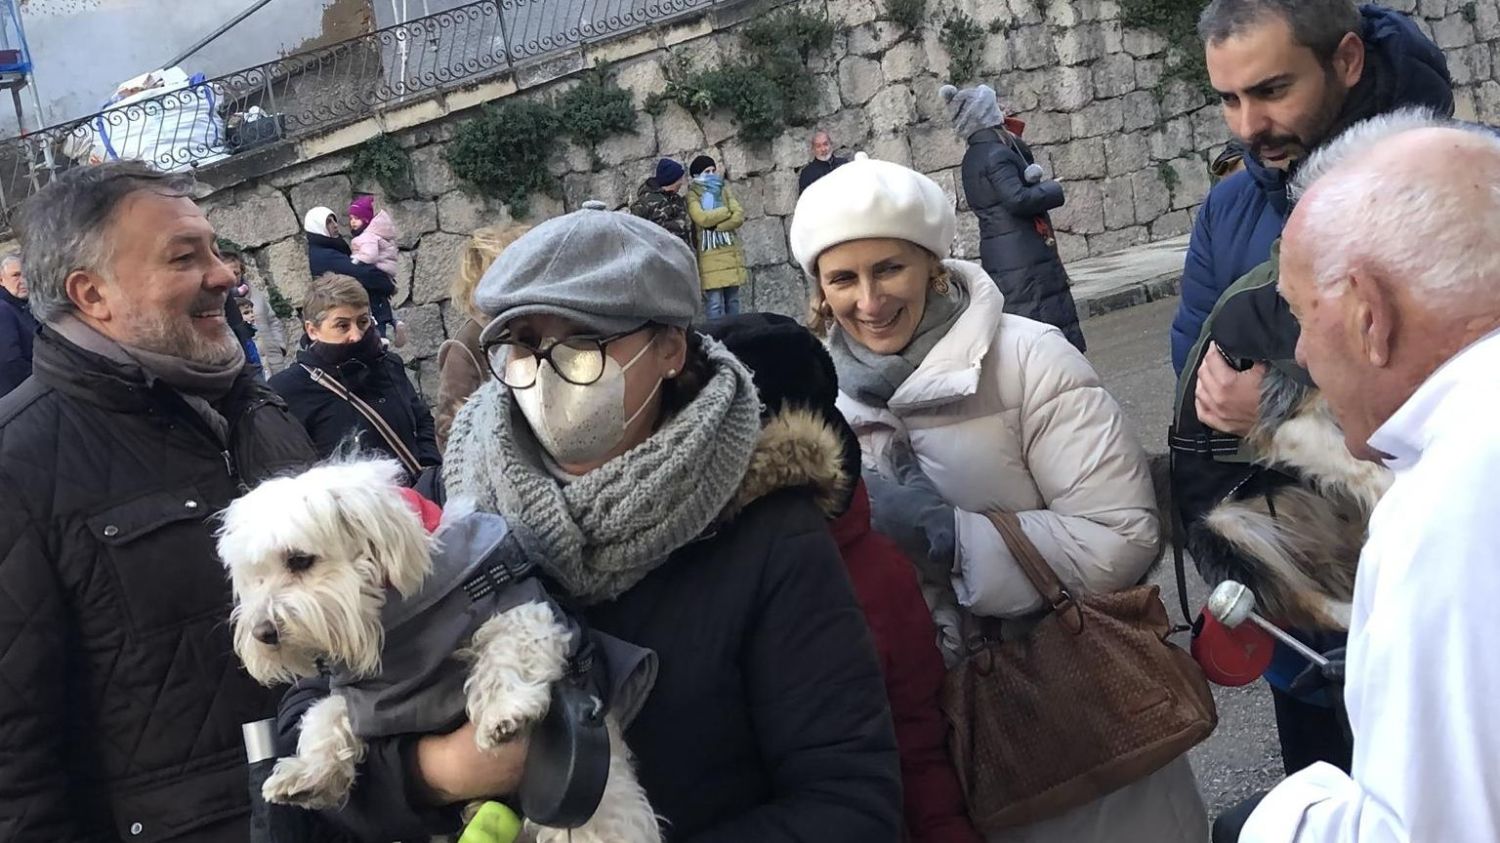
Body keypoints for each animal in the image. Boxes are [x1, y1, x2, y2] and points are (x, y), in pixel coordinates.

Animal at [214, 459, 660, 840]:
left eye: (300, 560)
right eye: (255, 576)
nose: (263, 633)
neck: (399, 633)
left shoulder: (521, 608)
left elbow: (510, 647)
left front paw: (503, 711)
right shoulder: (368, 700)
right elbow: (324, 712)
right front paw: (306, 772)